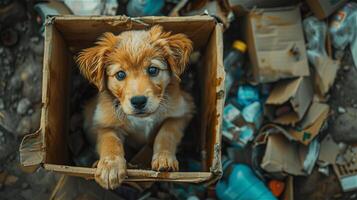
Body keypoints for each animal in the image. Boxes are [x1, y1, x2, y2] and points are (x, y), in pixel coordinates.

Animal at [76, 25, 193, 189]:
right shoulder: (103, 123)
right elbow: (110, 141)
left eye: (152, 70)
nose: (138, 101)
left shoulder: (182, 111)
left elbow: (167, 132)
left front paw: (164, 157)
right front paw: (110, 168)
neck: (143, 119)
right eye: (120, 74)